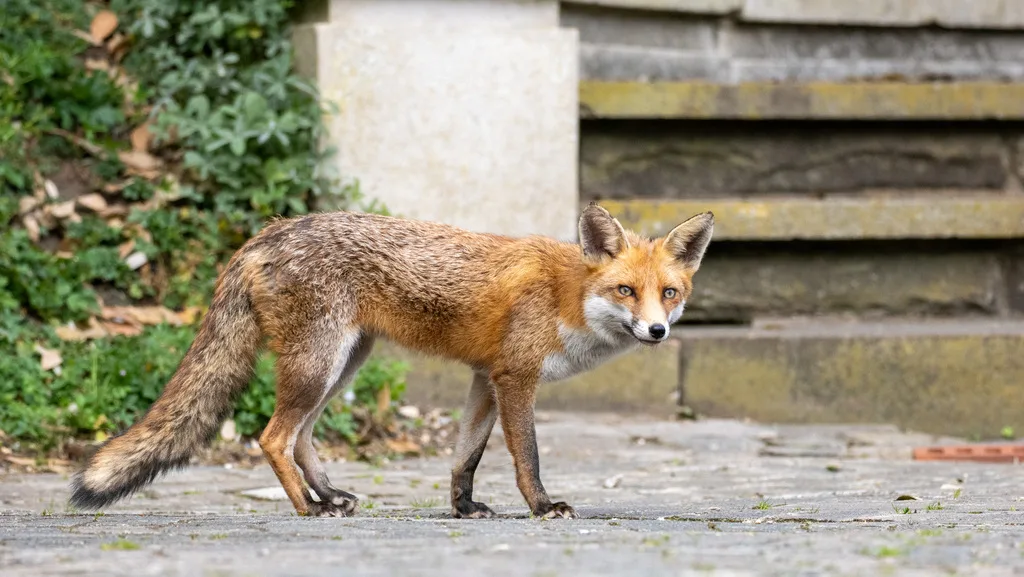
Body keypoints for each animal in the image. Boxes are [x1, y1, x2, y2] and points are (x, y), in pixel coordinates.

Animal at [68, 202, 714, 520]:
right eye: (627, 291)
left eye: (669, 294)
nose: (657, 330)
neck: (567, 295)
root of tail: (265, 234)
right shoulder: (514, 378)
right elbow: (525, 457)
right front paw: (542, 507)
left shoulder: (484, 380)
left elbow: (464, 457)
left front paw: (463, 508)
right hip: (319, 364)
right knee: (272, 437)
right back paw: (308, 509)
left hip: (343, 363)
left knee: (302, 438)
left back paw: (328, 496)